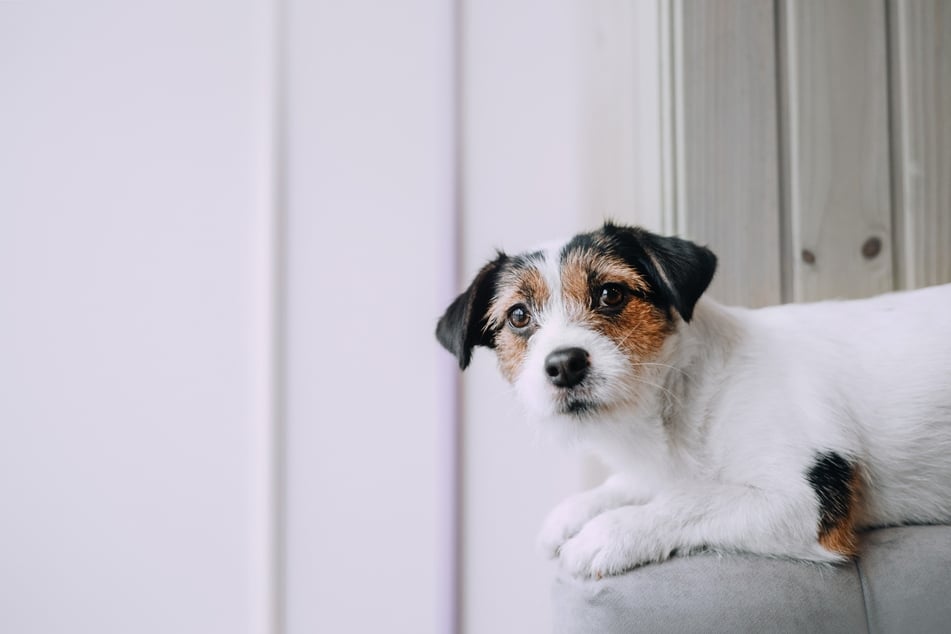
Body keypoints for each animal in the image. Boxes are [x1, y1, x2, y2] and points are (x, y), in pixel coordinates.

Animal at [436, 222, 951, 576]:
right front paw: (577, 510)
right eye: (519, 316)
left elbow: (688, 501)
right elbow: (644, 484)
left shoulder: (806, 501)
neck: (684, 396)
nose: (564, 365)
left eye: (610, 293)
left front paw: (607, 532)